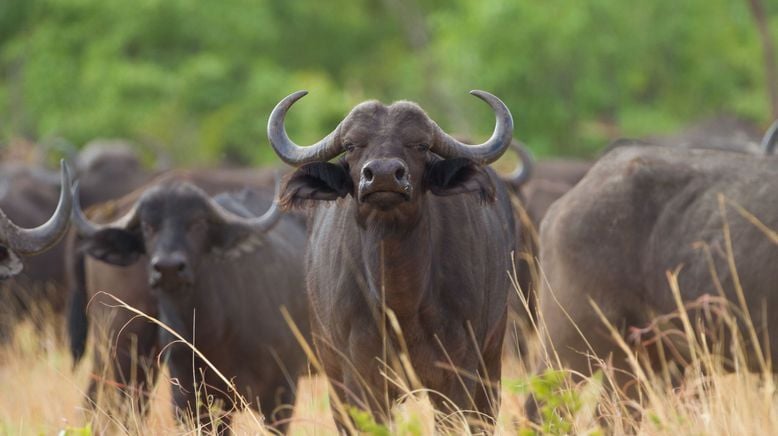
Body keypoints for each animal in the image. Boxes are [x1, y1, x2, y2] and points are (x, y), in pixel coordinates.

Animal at [69, 169, 306, 432]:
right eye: (147, 226)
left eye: (198, 223)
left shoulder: (281, 392)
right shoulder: (189, 401)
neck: (213, 331)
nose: (168, 268)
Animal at [268, 90, 520, 430]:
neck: (399, 299)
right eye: (352, 145)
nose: (384, 175)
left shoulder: (457, 376)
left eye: (421, 145)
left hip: (491, 362)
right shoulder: (361, 379)